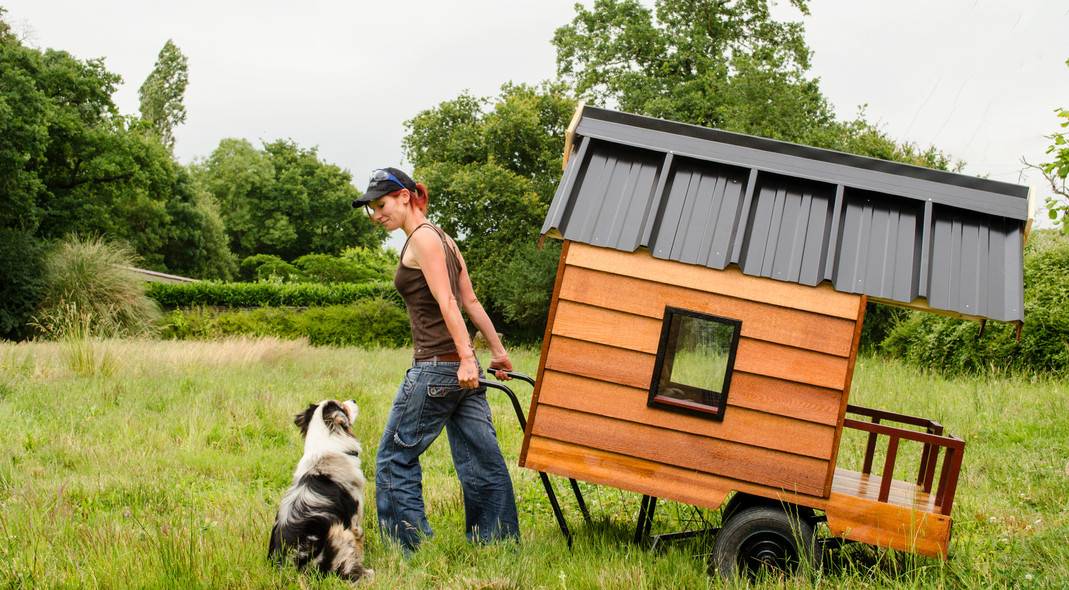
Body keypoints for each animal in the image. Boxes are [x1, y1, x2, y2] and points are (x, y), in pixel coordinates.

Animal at [269, 399, 374, 581]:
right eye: (343, 407)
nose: (353, 400)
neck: (326, 449)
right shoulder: (354, 519)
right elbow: (359, 545)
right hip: (339, 531)